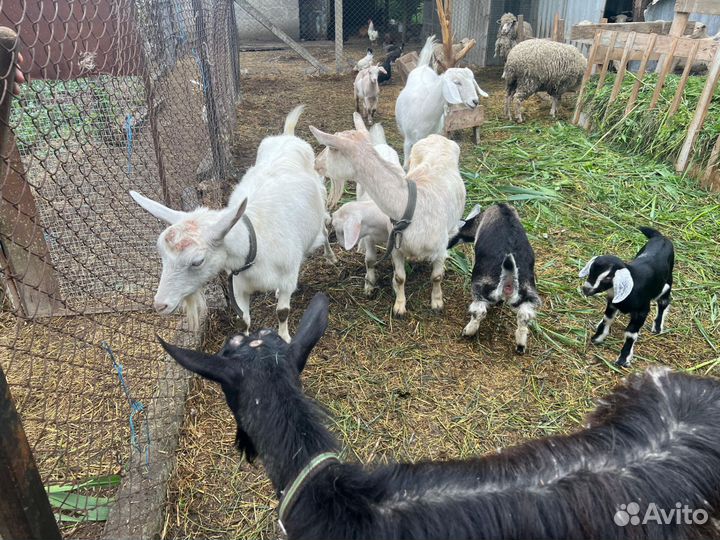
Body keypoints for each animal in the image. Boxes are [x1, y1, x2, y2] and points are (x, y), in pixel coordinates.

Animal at [130, 106, 333, 341]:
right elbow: (243, 319)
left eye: (197, 261)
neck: (255, 244)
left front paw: (284, 338)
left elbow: (282, 312)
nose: (160, 305)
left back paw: (331, 256)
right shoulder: (238, 285)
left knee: (325, 230)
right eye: (161, 254)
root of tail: (288, 136)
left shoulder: (288, 277)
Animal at [311, 114, 465, 317]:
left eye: (331, 148)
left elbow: (437, 276)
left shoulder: (438, 248)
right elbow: (399, 277)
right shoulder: (396, 246)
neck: (411, 206)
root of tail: (435, 136)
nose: (315, 163)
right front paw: (399, 307)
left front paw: (437, 303)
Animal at [395, 35, 488, 169]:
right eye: (457, 82)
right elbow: (407, 166)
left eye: (472, 80)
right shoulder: (408, 141)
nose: (475, 101)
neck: (424, 111)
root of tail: (423, 67)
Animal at [449, 203, 540, 354]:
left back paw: (468, 331)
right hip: (529, 292)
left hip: (480, 285)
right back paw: (520, 345)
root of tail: (509, 282)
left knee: (479, 311)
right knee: (524, 316)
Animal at [580, 227, 674, 367]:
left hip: (667, 282)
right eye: (590, 270)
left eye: (608, 277)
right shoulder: (612, 304)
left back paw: (657, 328)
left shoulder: (642, 311)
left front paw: (623, 359)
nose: (586, 289)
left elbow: (631, 334)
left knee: (663, 301)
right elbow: (607, 319)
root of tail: (661, 237)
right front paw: (597, 338)